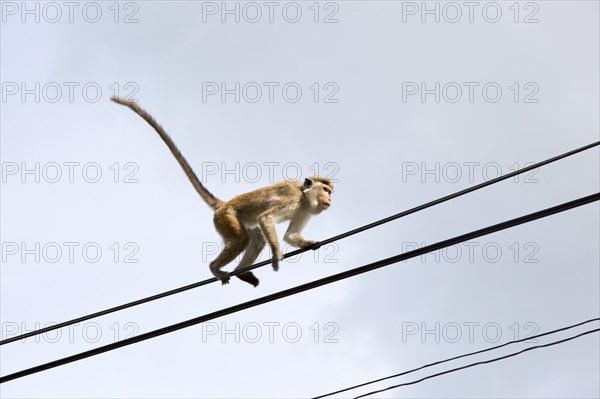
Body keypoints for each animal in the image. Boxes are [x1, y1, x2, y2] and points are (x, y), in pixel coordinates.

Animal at [111, 97, 332, 288]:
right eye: (325, 190)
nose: (329, 199)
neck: (303, 196)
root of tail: (224, 204)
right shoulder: (292, 198)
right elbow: (266, 218)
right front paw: (276, 255)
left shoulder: (303, 210)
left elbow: (290, 235)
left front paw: (308, 243)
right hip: (226, 217)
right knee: (242, 239)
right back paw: (215, 268)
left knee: (256, 240)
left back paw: (241, 272)